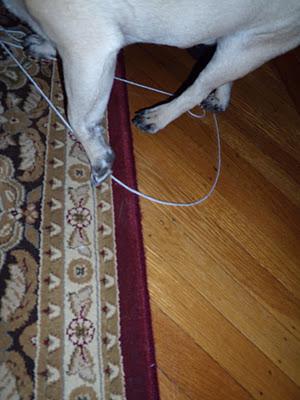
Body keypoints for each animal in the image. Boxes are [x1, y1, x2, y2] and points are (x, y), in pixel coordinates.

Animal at [2, 0, 300, 184]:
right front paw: (44, 45)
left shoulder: (88, 49)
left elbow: (80, 119)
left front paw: (99, 156)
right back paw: (220, 97)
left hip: (248, 45)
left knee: (198, 87)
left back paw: (158, 117)